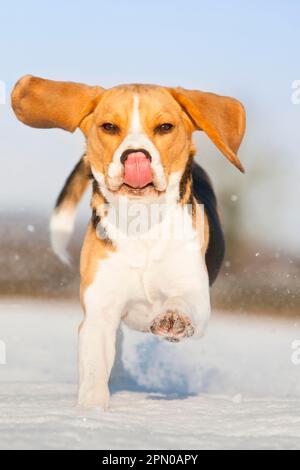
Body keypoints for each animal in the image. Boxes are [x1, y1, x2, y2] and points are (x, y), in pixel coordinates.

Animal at [11, 76, 246, 408]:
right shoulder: (100, 311)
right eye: (109, 126)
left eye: (165, 127)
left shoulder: (196, 296)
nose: (136, 156)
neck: (141, 222)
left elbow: (183, 303)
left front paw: (173, 318)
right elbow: (94, 371)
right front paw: (91, 412)